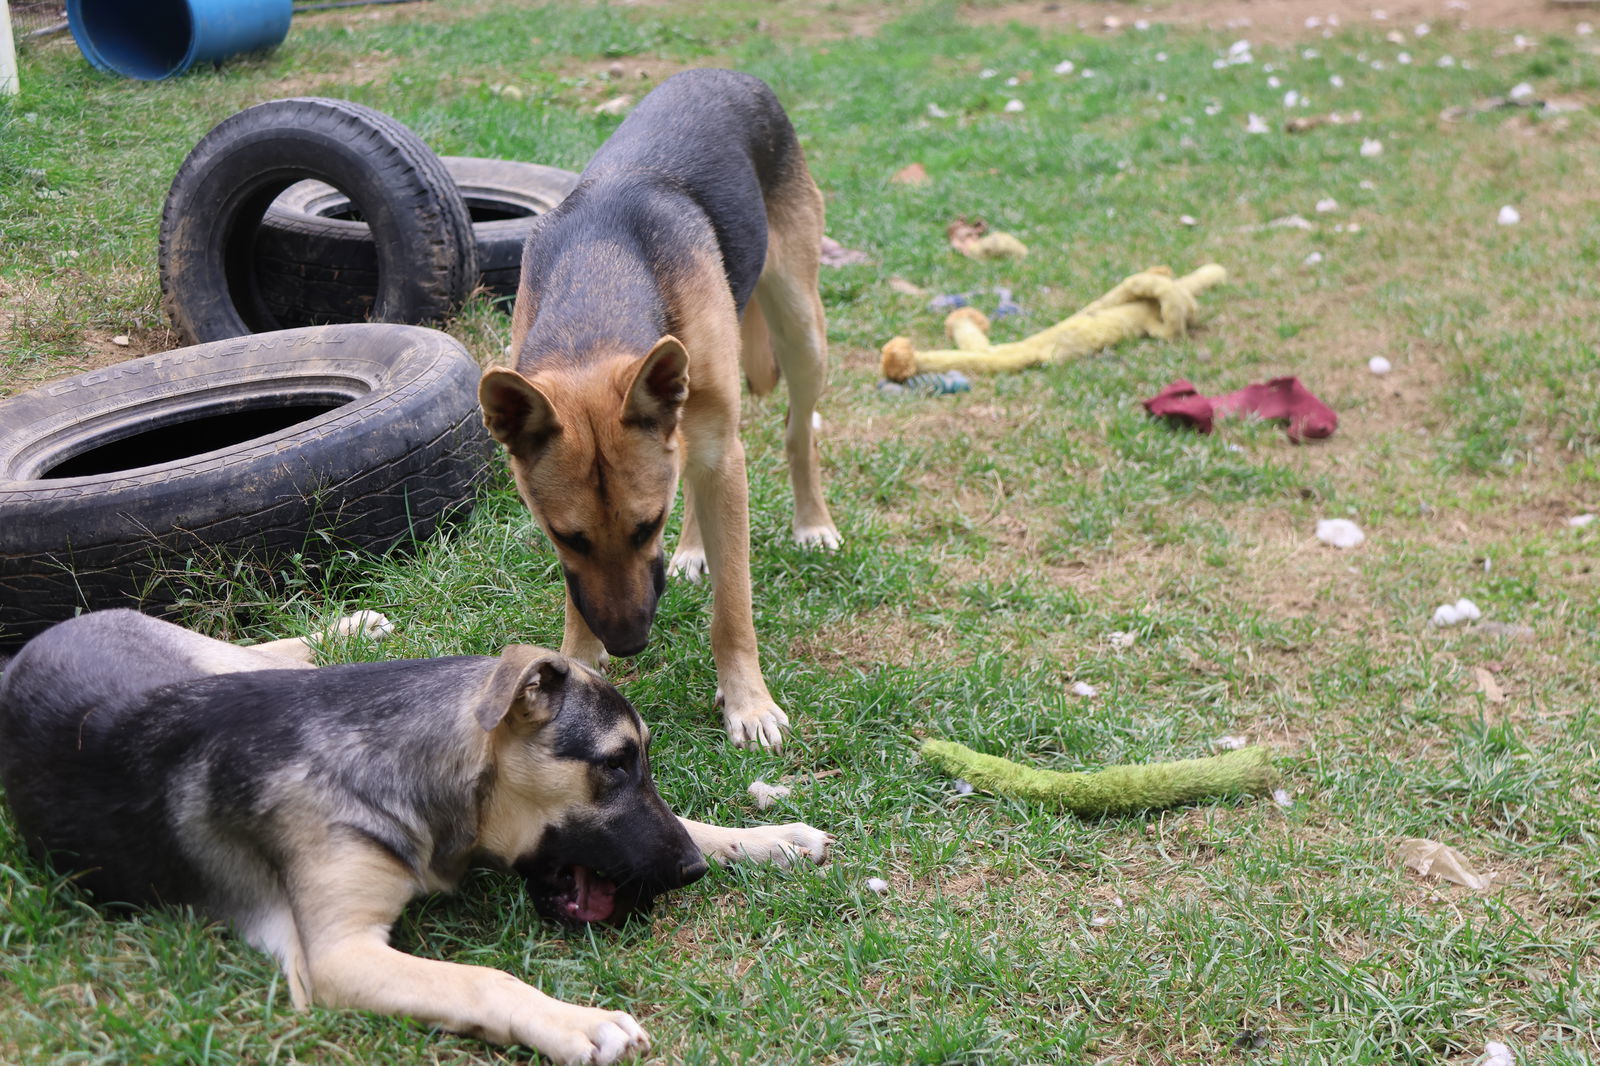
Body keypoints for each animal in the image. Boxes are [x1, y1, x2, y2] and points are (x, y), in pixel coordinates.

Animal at [0, 611, 825, 1056]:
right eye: (616, 764)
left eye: (638, 761)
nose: (689, 872)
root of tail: (25, 650)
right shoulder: (336, 957)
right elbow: (481, 980)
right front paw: (578, 1023)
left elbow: (695, 819)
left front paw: (765, 838)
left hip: (212, 659)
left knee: (273, 650)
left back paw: (349, 627)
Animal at [473, 68, 844, 745]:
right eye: (565, 536)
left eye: (647, 527)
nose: (627, 644)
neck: (599, 291)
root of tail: (726, 72)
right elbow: (578, 597)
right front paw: (576, 661)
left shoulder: (725, 459)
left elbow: (733, 606)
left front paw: (748, 703)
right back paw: (698, 548)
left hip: (801, 331)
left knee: (796, 432)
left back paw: (812, 523)